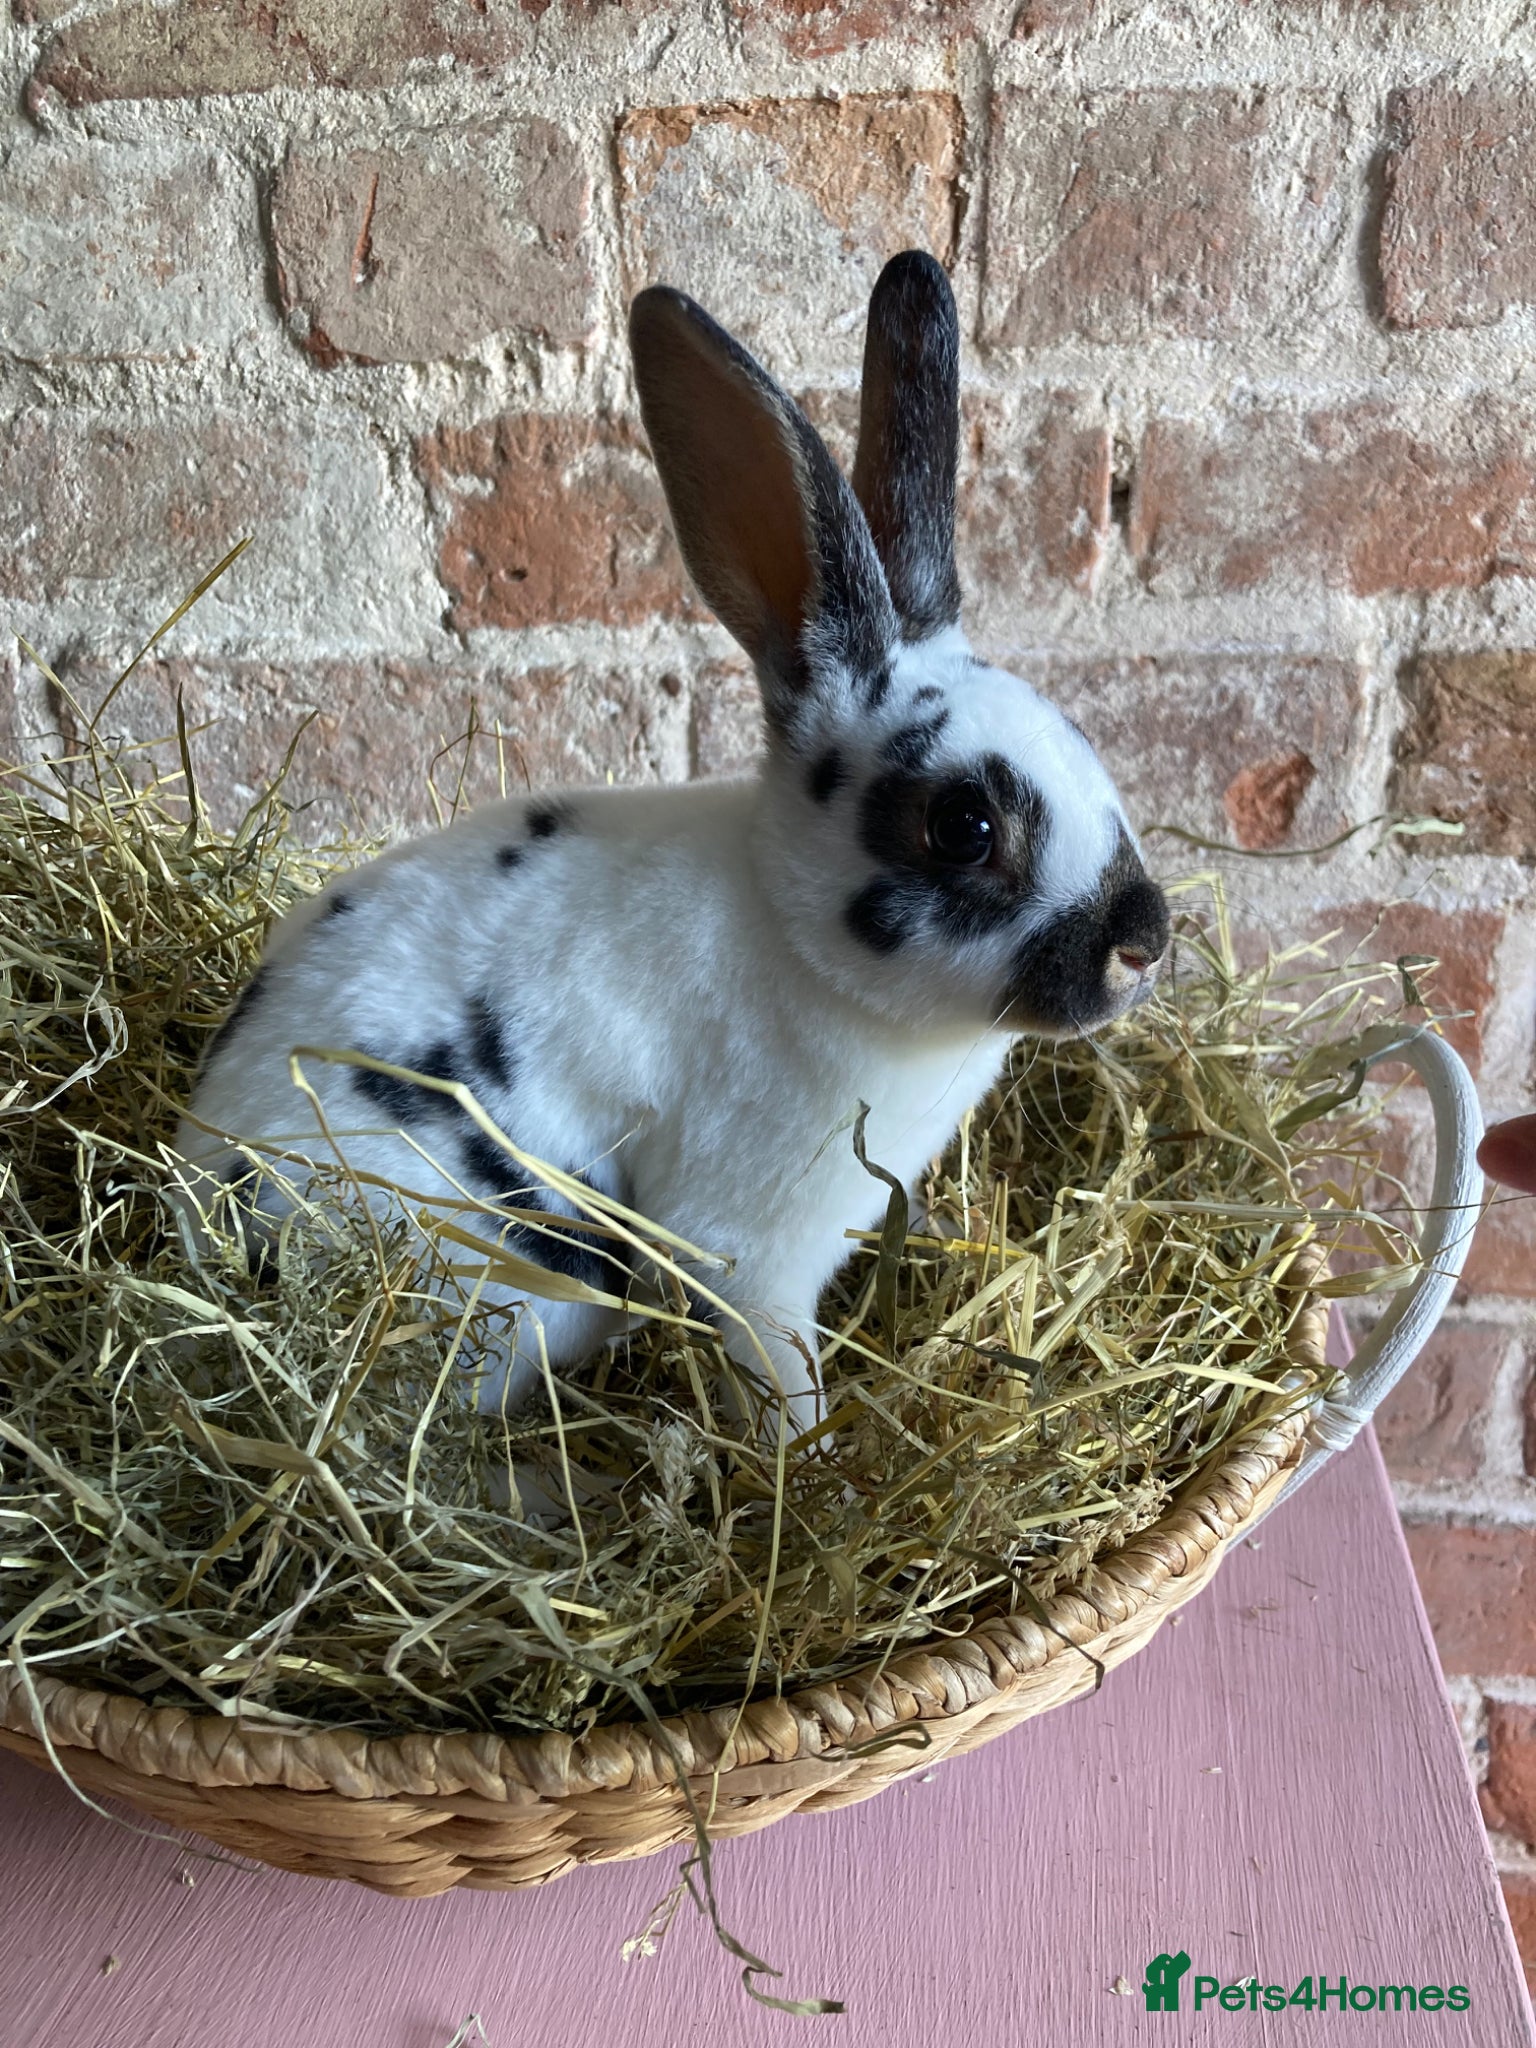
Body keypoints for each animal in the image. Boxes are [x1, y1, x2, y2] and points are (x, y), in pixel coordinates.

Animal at [171, 250, 1170, 1443]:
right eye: (965, 825)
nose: (1147, 940)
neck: (795, 940)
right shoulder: (747, 1247)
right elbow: (774, 1361)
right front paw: (807, 1456)